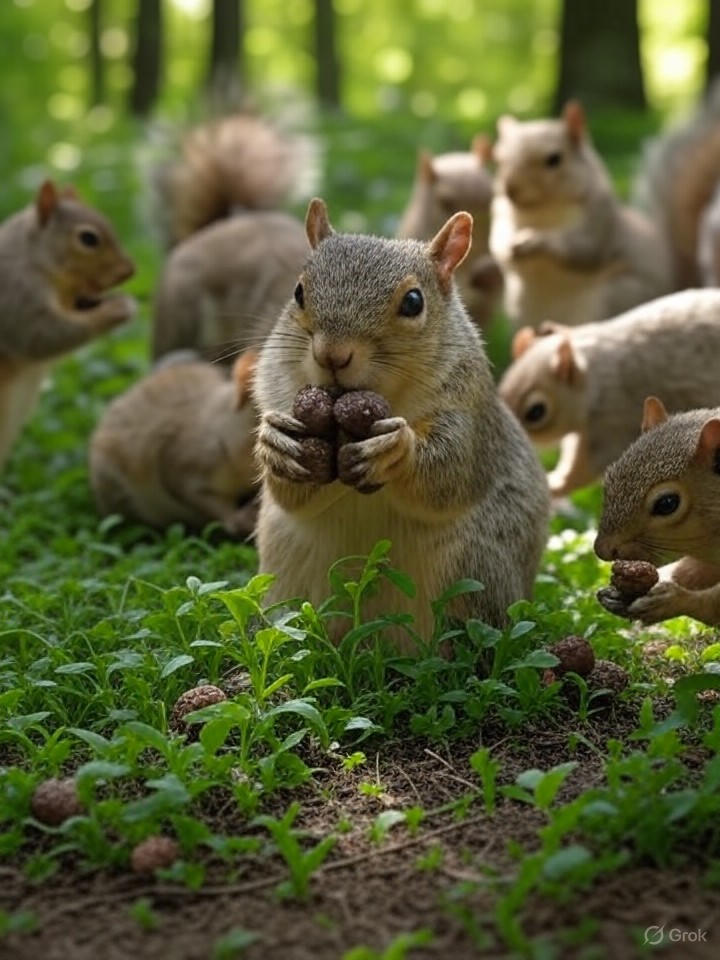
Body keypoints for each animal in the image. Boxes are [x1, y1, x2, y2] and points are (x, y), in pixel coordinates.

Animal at [0, 180, 135, 471]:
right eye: (88, 238)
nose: (129, 271)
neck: (32, 256)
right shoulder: (15, 295)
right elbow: (41, 335)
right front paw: (118, 308)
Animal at [253, 198, 550, 647]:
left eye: (413, 301)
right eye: (299, 291)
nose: (332, 355)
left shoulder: (470, 414)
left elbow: (450, 476)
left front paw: (395, 451)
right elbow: (292, 497)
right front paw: (276, 444)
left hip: (472, 565)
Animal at [489, 100, 672, 329]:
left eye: (554, 159)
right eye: (499, 159)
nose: (510, 188)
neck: (541, 210)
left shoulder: (598, 218)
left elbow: (583, 248)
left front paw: (535, 240)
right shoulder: (501, 212)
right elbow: (497, 241)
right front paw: (506, 247)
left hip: (615, 297)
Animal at [499, 288, 720, 496]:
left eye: (536, 412)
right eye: (501, 388)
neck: (594, 374)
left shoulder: (612, 421)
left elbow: (584, 469)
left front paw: (554, 485)